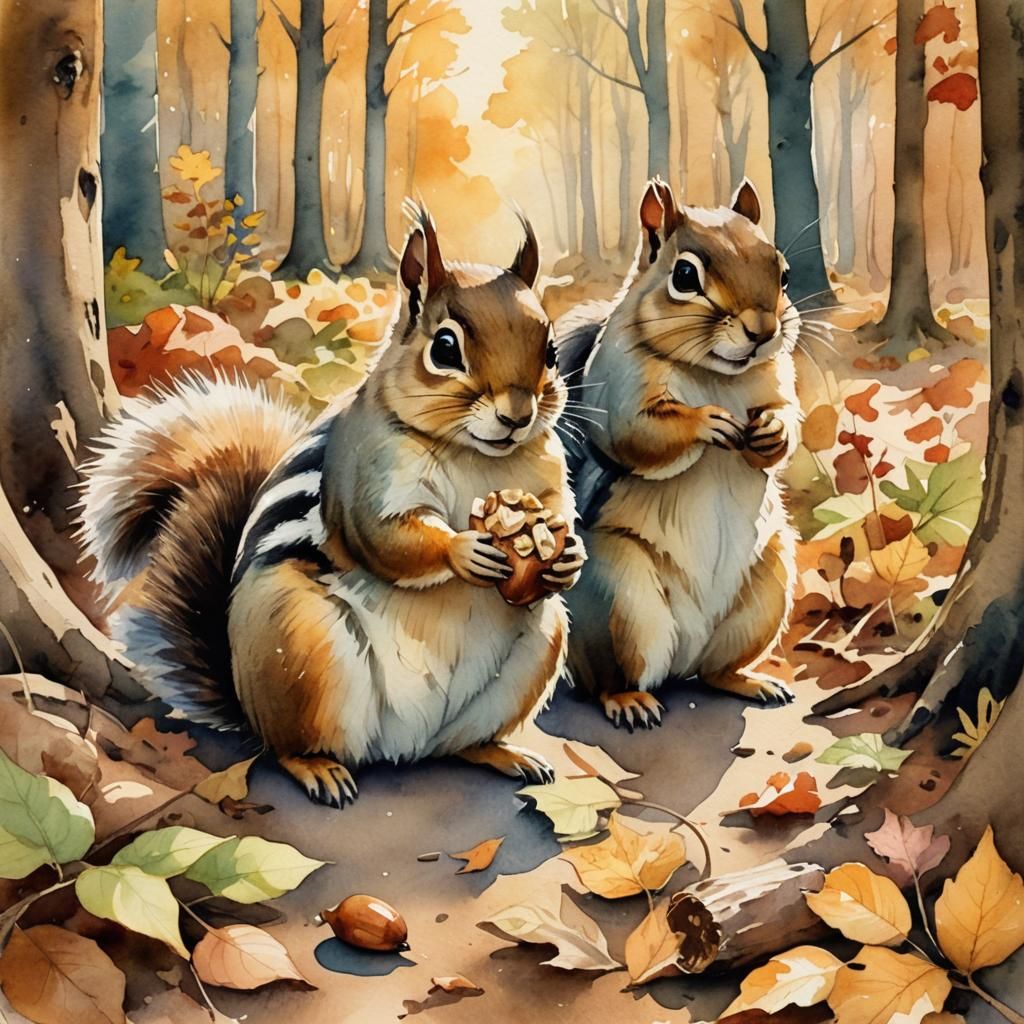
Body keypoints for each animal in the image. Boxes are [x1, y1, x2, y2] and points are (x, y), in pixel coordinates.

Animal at [78, 205, 585, 806]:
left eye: (551, 352)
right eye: (444, 348)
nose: (516, 415)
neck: (477, 457)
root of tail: (404, 747)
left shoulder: (547, 477)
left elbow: (561, 513)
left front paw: (568, 557)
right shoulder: (364, 473)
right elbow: (385, 536)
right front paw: (463, 550)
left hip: (536, 648)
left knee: (460, 743)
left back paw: (503, 753)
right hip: (299, 643)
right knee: (286, 745)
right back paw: (318, 768)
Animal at [556, 178, 800, 729]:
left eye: (783, 273)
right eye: (685, 275)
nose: (763, 331)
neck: (716, 375)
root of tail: (682, 658)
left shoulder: (779, 380)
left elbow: (789, 417)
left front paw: (772, 432)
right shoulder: (617, 389)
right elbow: (638, 434)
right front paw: (707, 422)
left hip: (767, 590)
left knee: (714, 671)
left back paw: (748, 680)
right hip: (620, 601)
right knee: (608, 677)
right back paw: (628, 700)